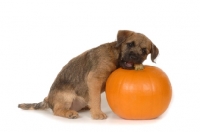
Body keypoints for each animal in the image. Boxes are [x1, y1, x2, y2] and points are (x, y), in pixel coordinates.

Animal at [18, 29, 159, 119]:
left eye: (144, 51)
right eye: (129, 44)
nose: (134, 57)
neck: (115, 56)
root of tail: (48, 100)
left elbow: (94, 97)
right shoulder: (94, 79)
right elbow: (96, 98)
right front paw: (97, 114)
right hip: (66, 97)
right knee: (57, 110)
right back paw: (69, 113)